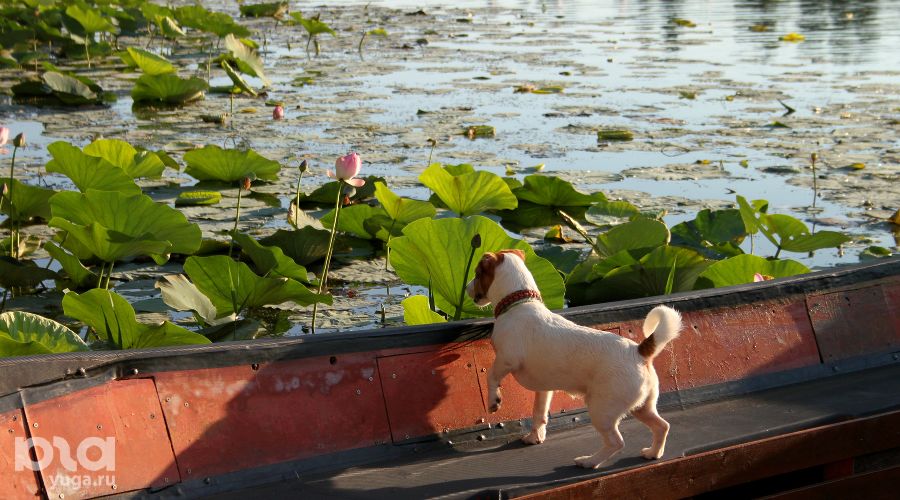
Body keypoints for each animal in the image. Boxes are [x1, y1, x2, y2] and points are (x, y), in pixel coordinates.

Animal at [468, 250, 680, 468]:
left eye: (476, 273)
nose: (467, 287)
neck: (519, 303)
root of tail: (639, 351)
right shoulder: (544, 389)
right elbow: (539, 414)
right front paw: (535, 437)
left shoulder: (506, 359)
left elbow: (491, 377)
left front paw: (493, 401)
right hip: (642, 406)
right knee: (662, 426)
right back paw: (653, 452)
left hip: (602, 410)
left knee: (616, 442)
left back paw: (589, 461)